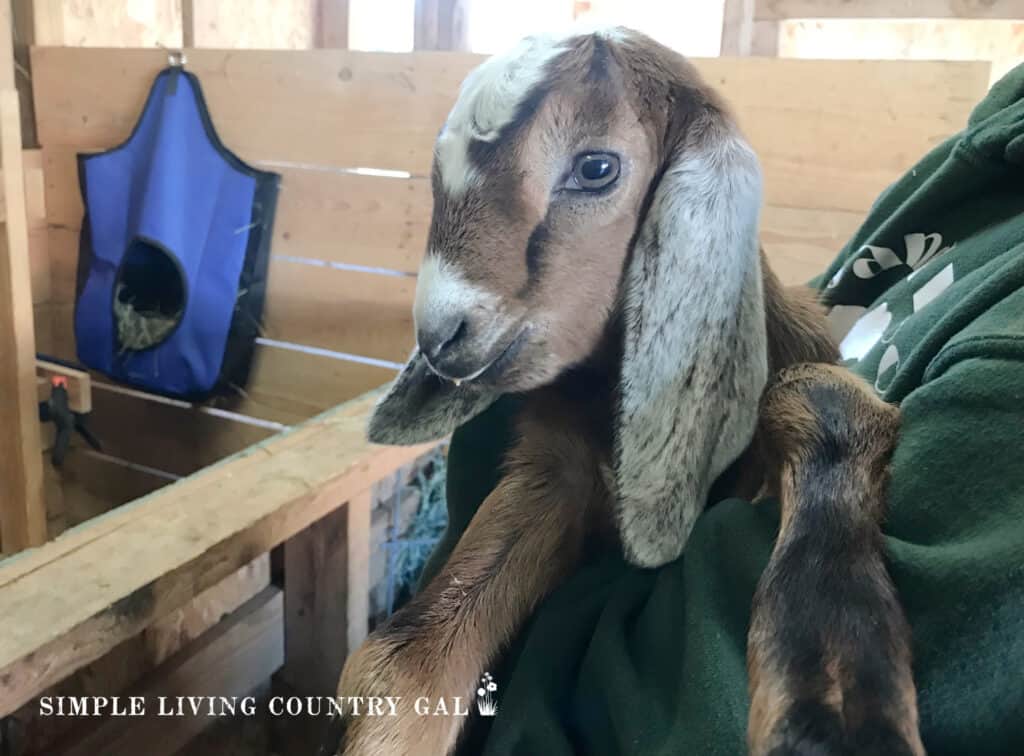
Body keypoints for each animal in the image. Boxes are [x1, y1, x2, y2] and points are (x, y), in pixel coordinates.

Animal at [325, 27, 921, 753]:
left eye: (596, 168)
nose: (440, 335)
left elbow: (820, 399)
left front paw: (834, 718)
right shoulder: (556, 468)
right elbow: (404, 660)